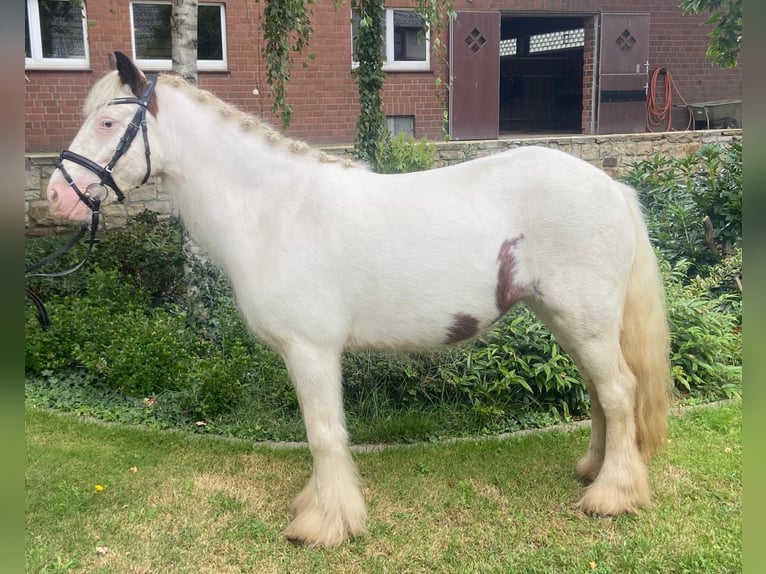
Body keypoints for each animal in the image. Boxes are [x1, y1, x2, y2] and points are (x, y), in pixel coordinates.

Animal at [48, 53, 672, 548]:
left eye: (108, 121)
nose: (58, 195)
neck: (274, 210)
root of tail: (612, 187)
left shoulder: (311, 351)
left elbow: (324, 434)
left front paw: (324, 525)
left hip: (583, 320)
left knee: (619, 392)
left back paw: (612, 495)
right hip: (571, 321)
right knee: (601, 394)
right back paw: (593, 471)